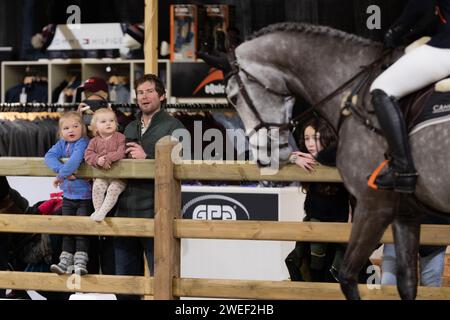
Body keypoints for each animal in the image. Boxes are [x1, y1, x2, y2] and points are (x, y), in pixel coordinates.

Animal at [227, 22, 450, 300]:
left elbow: (346, 277)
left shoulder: (373, 206)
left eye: (233, 97)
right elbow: (407, 283)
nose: (265, 157)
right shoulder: (405, 213)